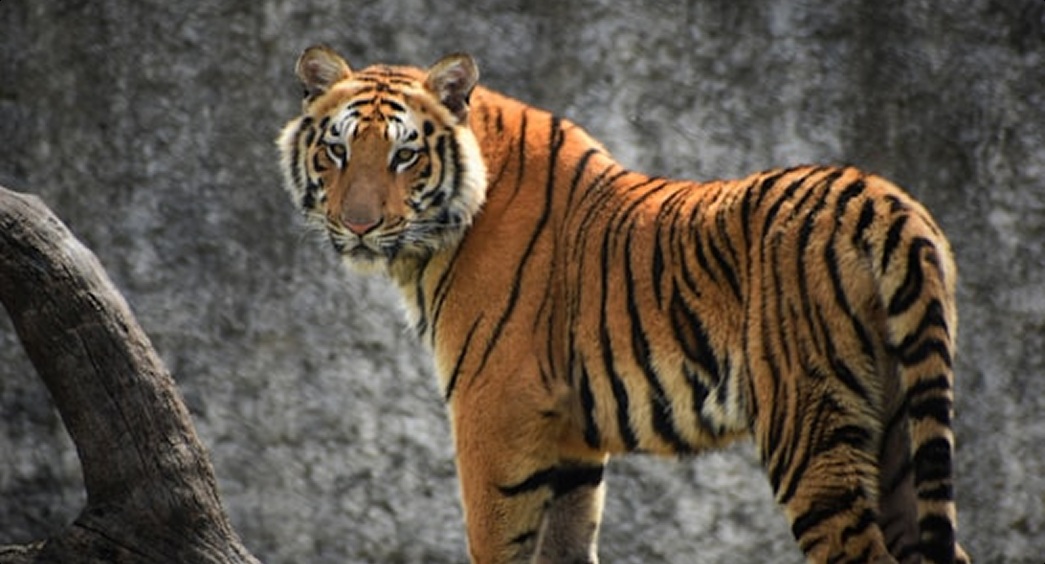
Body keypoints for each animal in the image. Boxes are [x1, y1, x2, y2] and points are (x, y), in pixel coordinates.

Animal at [278, 44, 969, 564]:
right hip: (900, 427)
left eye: (405, 154)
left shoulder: (493, 407)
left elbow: (496, 540)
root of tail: (885, 201)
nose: (359, 225)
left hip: (810, 426)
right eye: (337, 150)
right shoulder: (570, 437)